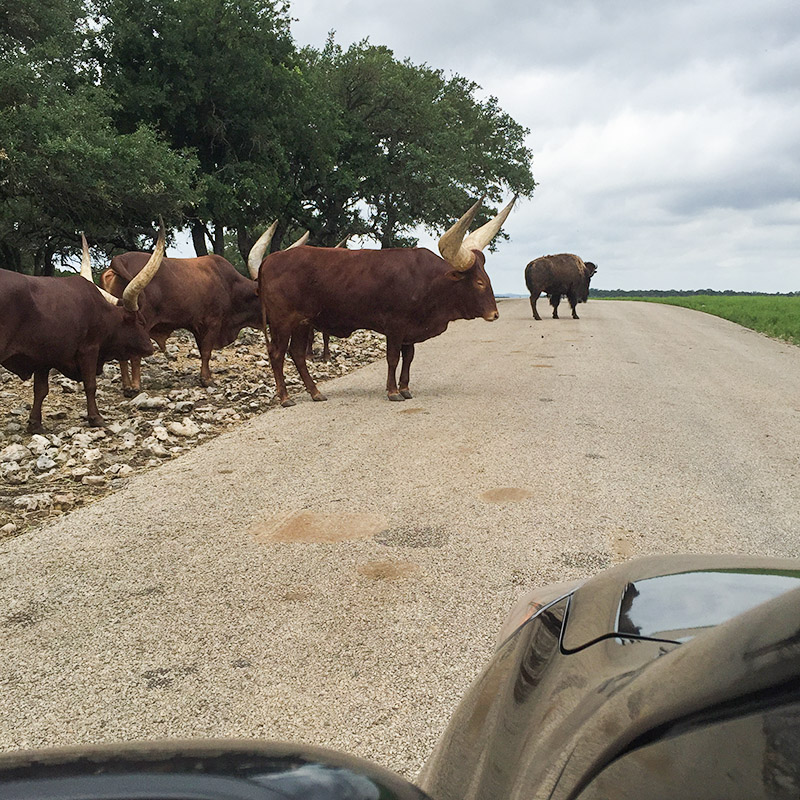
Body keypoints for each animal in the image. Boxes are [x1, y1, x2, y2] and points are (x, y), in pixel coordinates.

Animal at [0, 225, 164, 432]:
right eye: (140, 322)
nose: (150, 348)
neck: (100, 312)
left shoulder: (43, 358)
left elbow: (41, 390)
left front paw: (35, 424)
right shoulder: (89, 350)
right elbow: (90, 384)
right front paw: (96, 418)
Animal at [247, 195, 516, 406]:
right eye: (479, 282)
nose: (494, 314)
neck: (428, 280)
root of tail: (269, 260)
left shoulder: (410, 330)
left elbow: (409, 357)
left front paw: (405, 388)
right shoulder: (395, 327)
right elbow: (393, 357)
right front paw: (393, 391)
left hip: (302, 322)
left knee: (297, 354)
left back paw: (315, 393)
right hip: (282, 321)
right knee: (277, 353)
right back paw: (285, 398)